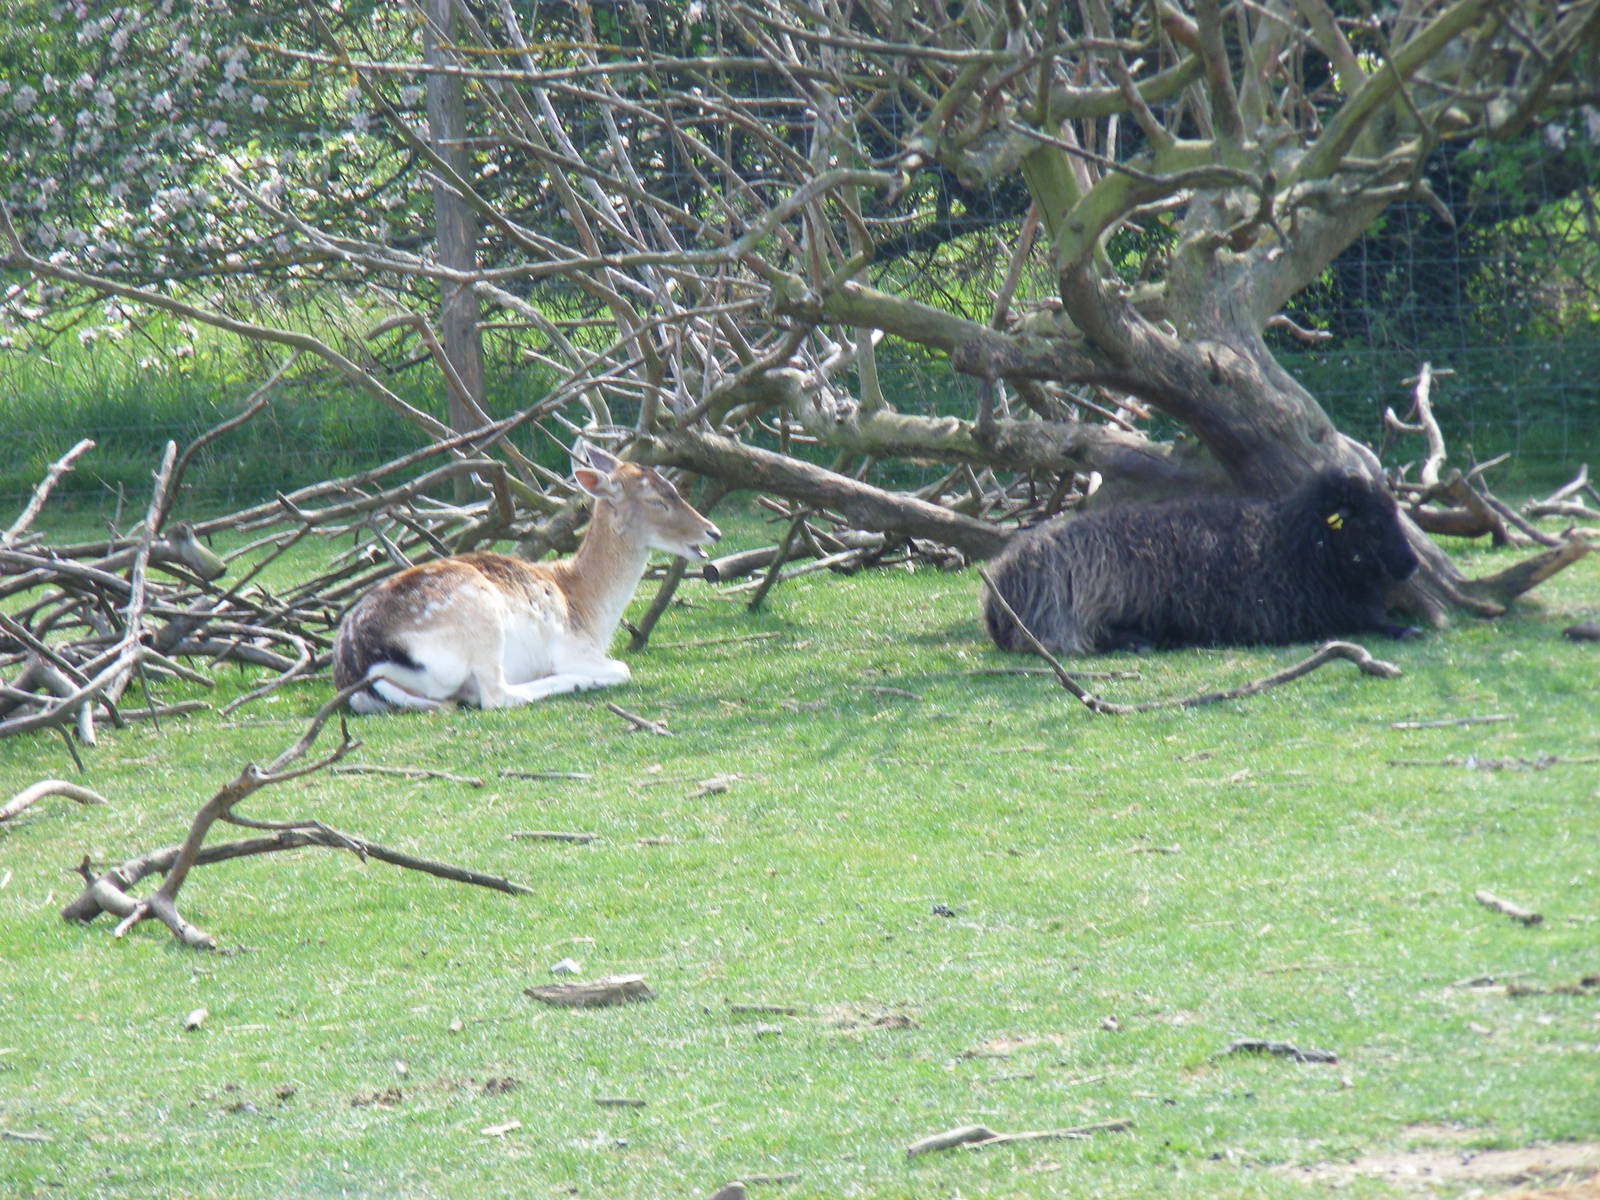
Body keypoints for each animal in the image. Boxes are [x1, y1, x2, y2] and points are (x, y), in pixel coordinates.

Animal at [333, 444, 721, 714]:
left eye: (672, 486)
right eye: (656, 500)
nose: (712, 531)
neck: (590, 610)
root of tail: (360, 667)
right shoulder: (574, 649)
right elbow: (623, 667)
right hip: (481, 619)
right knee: (496, 696)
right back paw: (573, 682)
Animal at [981, 470, 1421, 654]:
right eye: (1374, 521)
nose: (1412, 565)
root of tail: (1000, 581)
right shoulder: (1293, 614)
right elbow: (1365, 621)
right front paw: (1404, 629)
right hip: (1070, 606)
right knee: (1069, 640)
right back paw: (1141, 642)